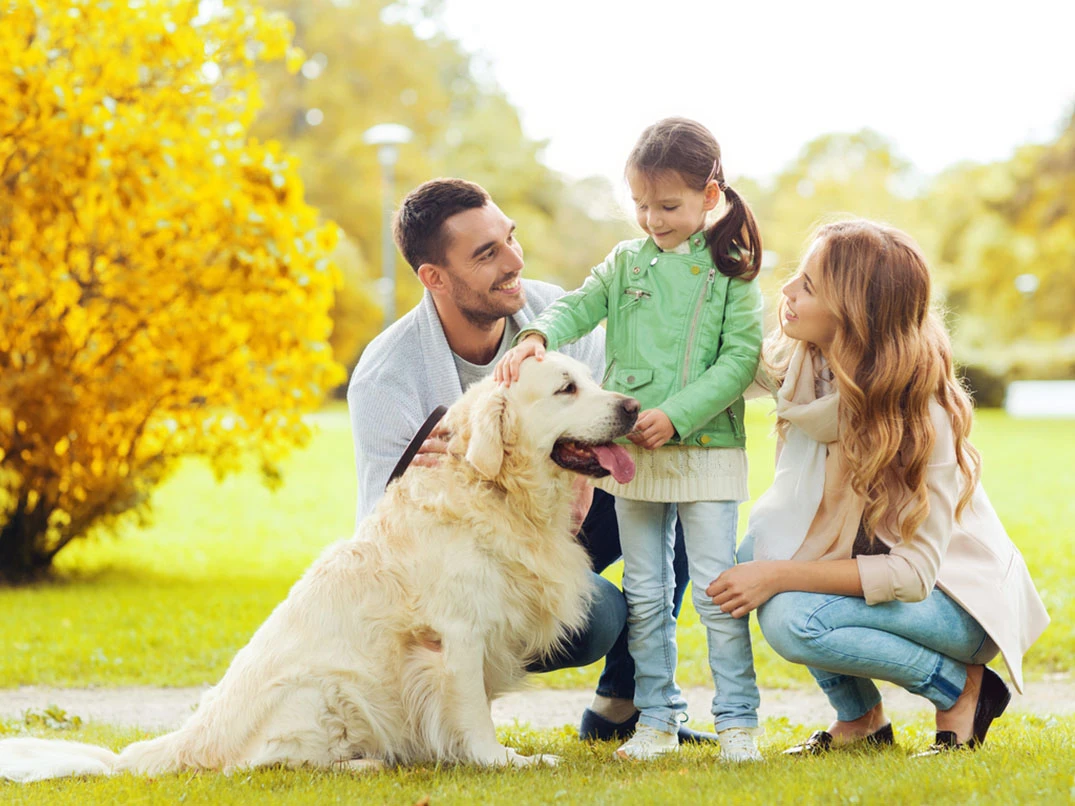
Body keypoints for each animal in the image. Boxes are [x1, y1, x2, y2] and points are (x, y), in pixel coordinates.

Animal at [0, 352, 636, 782]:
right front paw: (505, 760)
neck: (499, 491)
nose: (632, 407)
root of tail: (188, 739)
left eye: (592, 378)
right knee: (260, 765)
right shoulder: (455, 636)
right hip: (323, 691)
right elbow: (472, 715)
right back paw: (362, 764)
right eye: (565, 388)